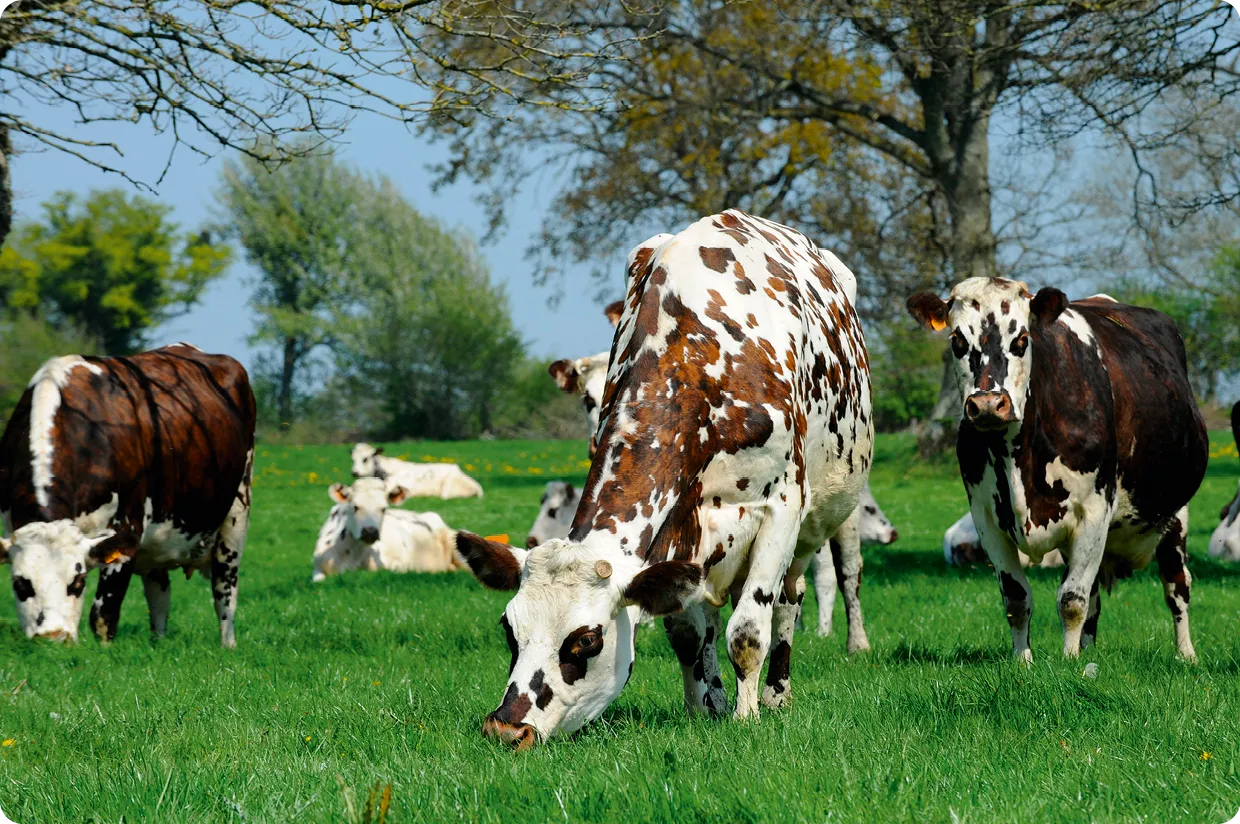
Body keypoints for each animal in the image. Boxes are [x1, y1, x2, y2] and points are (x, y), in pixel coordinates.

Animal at [0, 344, 255, 644]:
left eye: (78, 582)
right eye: (20, 583)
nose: (53, 637)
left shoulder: (126, 528)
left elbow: (103, 616)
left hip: (236, 515)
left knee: (224, 592)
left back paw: (228, 645)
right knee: (159, 596)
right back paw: (158, 642)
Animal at [456, 210, 872, 743]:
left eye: (585, 640)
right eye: (509, 629)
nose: (507, 728)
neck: (699, 355)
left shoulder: (781, 507)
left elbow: (747, 631)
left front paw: (746, 717)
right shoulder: (679, 528)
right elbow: (690, 634)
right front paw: (705, 708)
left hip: (834, 508)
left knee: (807, 591)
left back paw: (787, 689)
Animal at [907, 277, 1205, 664]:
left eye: (1021, 339)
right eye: (957, 340)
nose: (987, 404)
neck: (1017, 460)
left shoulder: (1094, 509)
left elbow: (1072, 600)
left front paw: (1068, 661)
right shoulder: (986, 518)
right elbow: (1017, 599)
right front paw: (1024, 661)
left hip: (1175, 514)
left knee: (1176, 586)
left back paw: (1185, 653)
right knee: (1095, 593)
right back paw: (1089, 649)